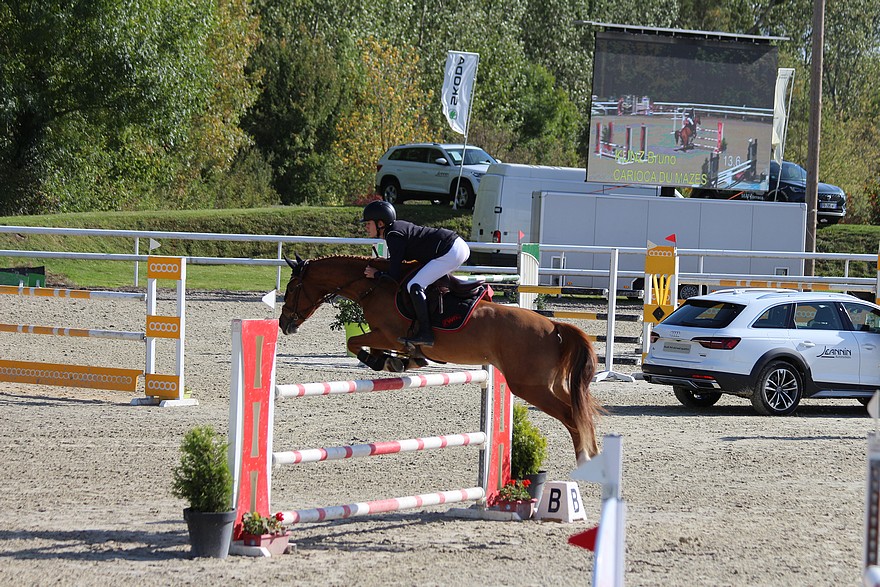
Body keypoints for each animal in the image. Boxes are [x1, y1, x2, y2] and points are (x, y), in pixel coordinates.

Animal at [278, 255, 600, 466]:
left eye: (292, 288)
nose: (284, 324)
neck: (375, 286)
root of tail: (554, 327)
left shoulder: (388, 335)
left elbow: (354, 342)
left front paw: (383, 361)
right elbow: (379, 349)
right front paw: (405, 362)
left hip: (530, 386)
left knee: (571, 415)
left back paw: (585, 460)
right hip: (549, 384)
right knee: (580, 411)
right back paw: (594, 457)